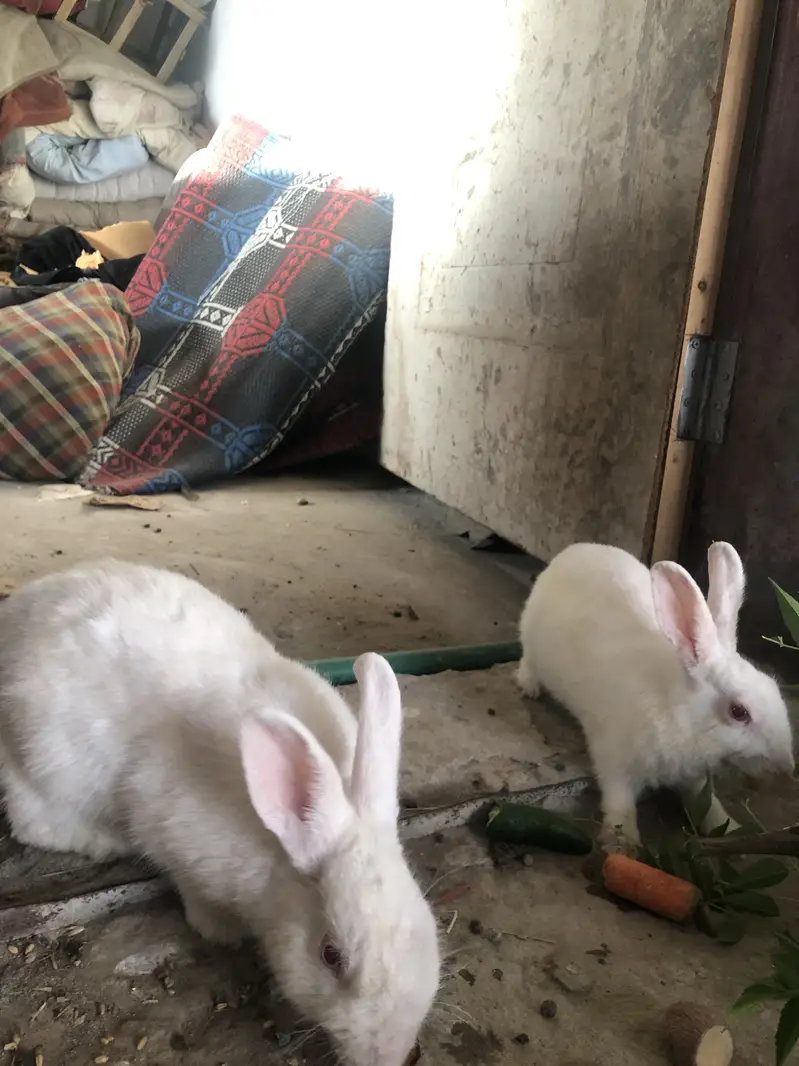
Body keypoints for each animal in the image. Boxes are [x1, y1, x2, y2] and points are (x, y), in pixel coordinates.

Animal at [0, 559, 440, 1066]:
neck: (281, 854)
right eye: (331, 956)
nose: (389, 1053)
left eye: (426, 927)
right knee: (34, 823)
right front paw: (222, 931)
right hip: (49, 765)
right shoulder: (171, 828)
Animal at [516, 541, 794, 851]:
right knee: (527, 660)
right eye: (739, 712)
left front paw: (729, 827)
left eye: (773, 686)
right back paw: (529, 686)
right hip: (532, 642)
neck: (677, 713)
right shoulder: (615, 758)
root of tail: (572, 551)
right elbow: (619, 797)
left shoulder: (693, 776)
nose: (786, 767)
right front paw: (622, 842)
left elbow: (705, 801)